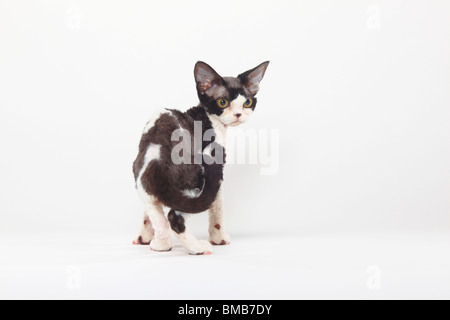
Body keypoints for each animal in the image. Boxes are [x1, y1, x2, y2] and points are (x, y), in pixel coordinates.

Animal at [132, 60, 268, 255]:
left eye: (247, 102)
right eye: (222, 102)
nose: (238, 115)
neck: (208, 117)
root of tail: (157, 162)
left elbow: (147, 215)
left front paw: (144, 236)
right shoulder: (216, 168)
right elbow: (217, 208)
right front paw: (219, 239)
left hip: (142, 182)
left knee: (159, 217)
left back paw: (161, 245)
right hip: (195, 178)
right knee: (175, 217)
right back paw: (198, 248)